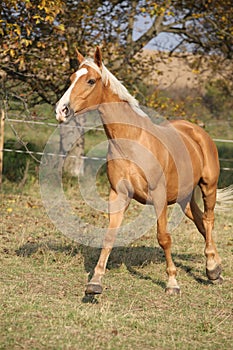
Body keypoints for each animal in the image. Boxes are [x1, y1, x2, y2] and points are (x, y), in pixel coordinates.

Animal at [55, 45, 224, 294]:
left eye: (91, 80)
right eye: (71, 78)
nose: (62, 110)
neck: (131, 141)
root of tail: (197, 131)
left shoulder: (159, 196)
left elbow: (163, 237)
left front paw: (172, 283)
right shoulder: (118, 194)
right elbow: (109, 237)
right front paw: (95, 282)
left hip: (208, 186)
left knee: (210, 220)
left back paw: (212, 268)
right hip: (183, 197)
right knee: (201, 223)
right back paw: (216, 269)